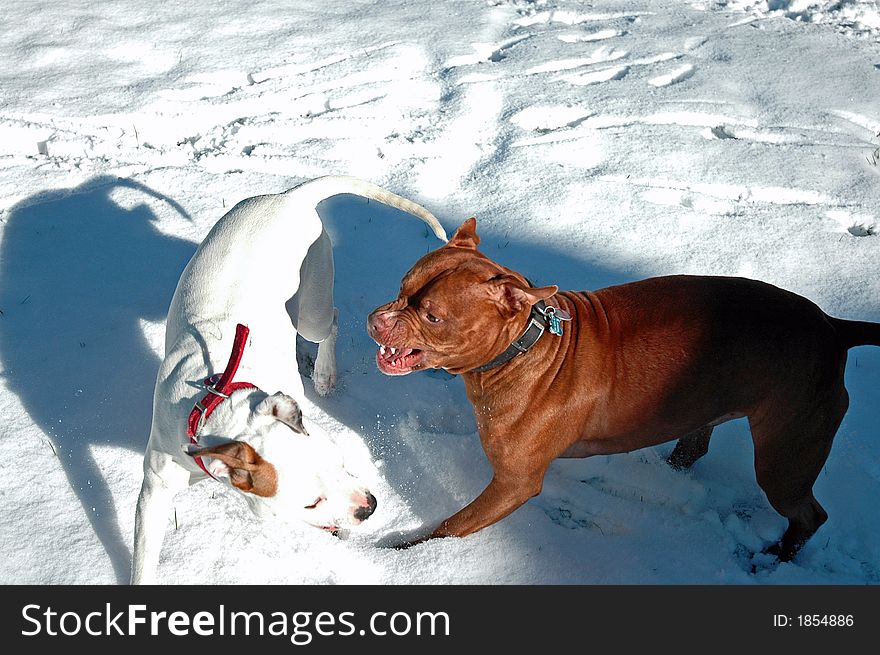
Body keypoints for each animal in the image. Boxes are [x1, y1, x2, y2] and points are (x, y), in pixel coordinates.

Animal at [132, 174, 446, 584]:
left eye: (339, 461)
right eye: (311, 502)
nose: (370, 507)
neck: (223, 398)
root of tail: (290, 195)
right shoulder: (156, 485)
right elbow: (144, 556)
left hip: (313, 298)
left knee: (329, 321)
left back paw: (325, 373)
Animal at [366, 218, 880, 560]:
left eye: (433, 316)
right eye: (401, 287)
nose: (376, 320)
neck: (526, 344)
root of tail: (833, 328)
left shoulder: (514, 483)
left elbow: (451, 527)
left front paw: (405, 555)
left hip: (785, 457)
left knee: (809, 514)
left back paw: (777, 556)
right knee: (693, 446)